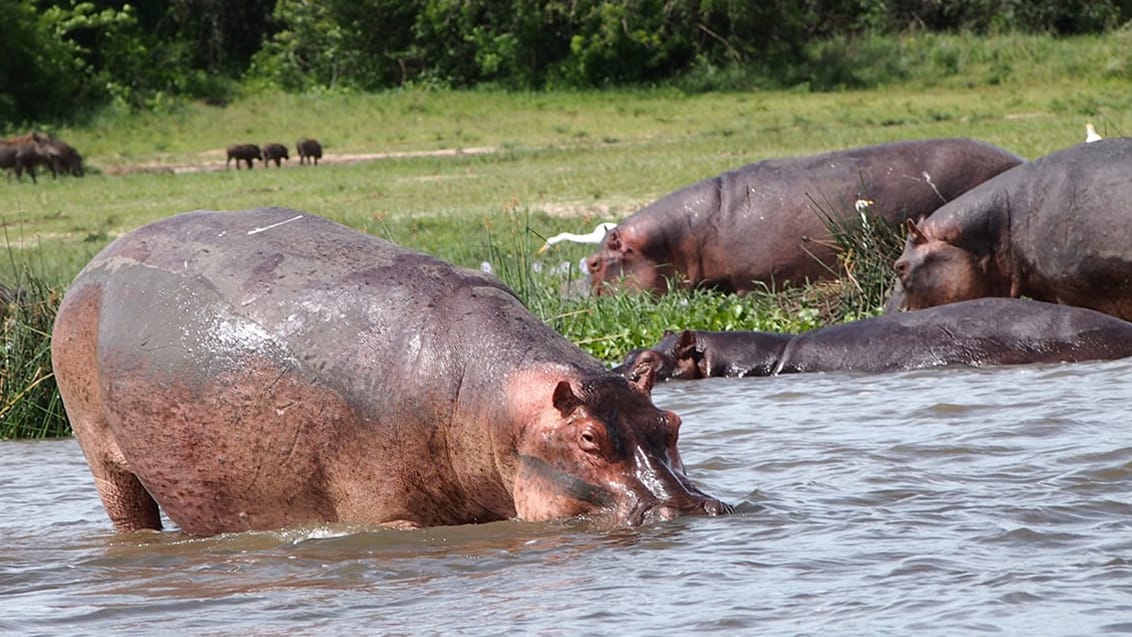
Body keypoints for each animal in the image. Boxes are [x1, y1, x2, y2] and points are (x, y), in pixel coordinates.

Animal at [53, 207, 729, 536]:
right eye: (588, 438)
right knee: (128, 511)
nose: (691, 508)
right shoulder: (384, 516)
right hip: (101, 455)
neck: (495, 402)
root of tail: (91, 265)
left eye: (671, 423)